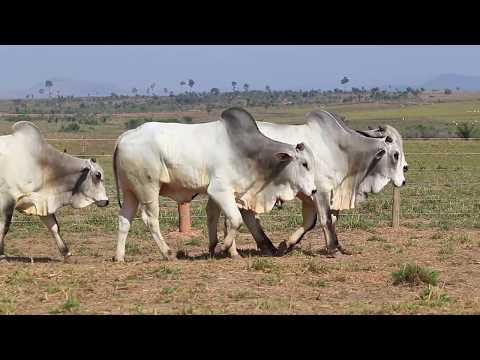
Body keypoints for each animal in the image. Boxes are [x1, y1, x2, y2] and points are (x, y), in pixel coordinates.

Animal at [113, 105, 318, 260]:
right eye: (304, 164)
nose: (314, 190)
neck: (249, 152)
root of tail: (125, 136)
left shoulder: (232, 194)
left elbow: (220, 219)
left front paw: (226, 251)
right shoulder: (219, 190)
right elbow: (235, 220)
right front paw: (223, 248)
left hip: (130, 191)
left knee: (124, 219)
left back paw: (119, 256)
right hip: (148, 188)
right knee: (150, 219)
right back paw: (168, 253)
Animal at [214, 109, 404, 256]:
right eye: (395, 154)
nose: (403, 179)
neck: (340, 149)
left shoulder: (317, 194)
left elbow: (314, 222)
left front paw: (287, 244)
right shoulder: (321, 190)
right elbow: (325, 219)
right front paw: (333, 249)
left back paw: (264, 247)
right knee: (237, 216)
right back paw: (234, 251)